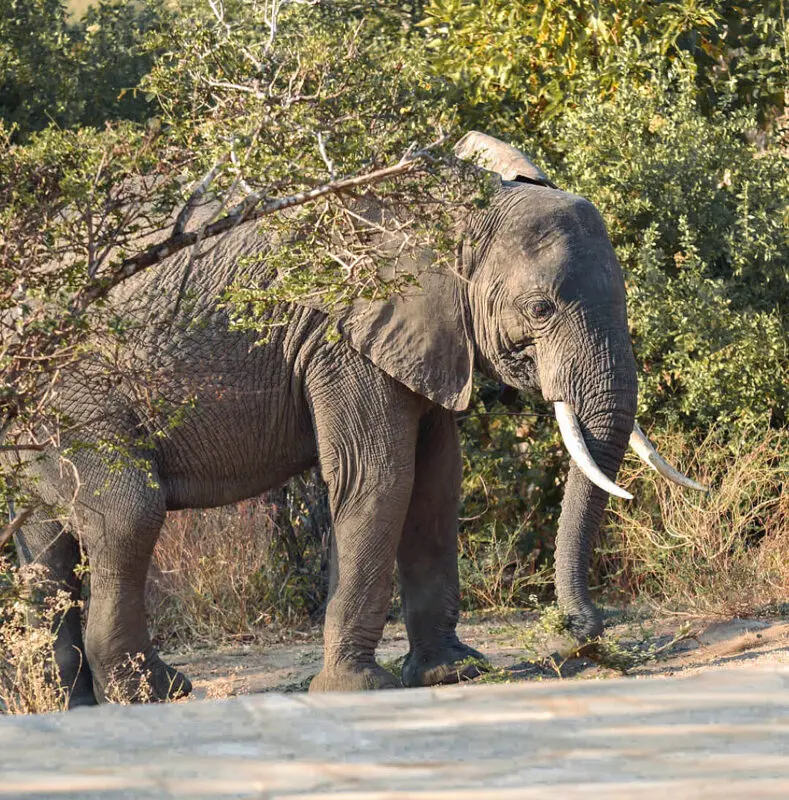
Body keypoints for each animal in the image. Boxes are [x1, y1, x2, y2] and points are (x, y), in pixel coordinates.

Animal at [11, 131, 703, 708]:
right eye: (539, 309)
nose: (577, 636)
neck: (455, 208)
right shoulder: (344, 335)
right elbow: (380, 477)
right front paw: (356, 688)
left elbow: (435, 485)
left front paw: (453, 673)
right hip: (74, 396)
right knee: (127, 514)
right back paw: (156, 693)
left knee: (47, 541)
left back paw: (72, 704)